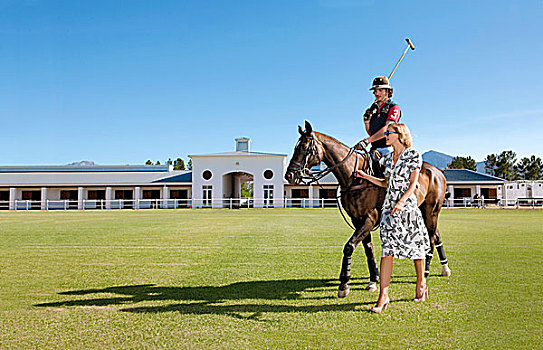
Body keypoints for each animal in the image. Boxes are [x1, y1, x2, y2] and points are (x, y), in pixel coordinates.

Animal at [282, 121, 452, 296]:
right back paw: (444, 268)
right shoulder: (357, 219)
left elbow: (349, 246)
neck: (353, 176)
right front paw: (373, 279)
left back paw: (425, 271)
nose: (289, 176)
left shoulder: (369, 217)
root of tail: (439, 172)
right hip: (424, 210)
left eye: (304, 147)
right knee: (436, 235)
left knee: (431, 238)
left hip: (432, 211)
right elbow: (367, 248)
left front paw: (344, 283)